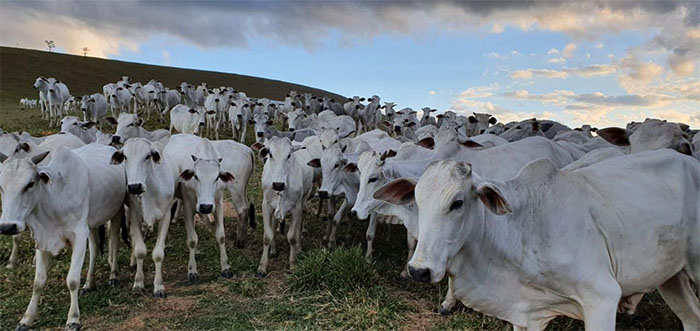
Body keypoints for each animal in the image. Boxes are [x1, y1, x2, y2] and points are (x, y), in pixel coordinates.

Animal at [0, 145, 124, 331]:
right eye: (1, 186)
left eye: (30, 184)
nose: (8, 227)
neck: (54, 199)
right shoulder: (42, 239)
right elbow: (38, 282)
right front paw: (26, 319)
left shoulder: (79, 235)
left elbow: (72, 280)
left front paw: (73, 319)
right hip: (92, 223)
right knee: (94, 248)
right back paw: (89, 283)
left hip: (115, 214)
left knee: (114, 241)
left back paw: (113, 276)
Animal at [165, 135, 256, 282]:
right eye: (195, 176)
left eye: (217, 177)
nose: (206, 206)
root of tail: (248, 150)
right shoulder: (189, 206)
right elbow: (192, 239)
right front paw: (192, 271)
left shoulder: (218, 203)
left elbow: (220, 235)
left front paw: (225, 267)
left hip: (237, 189)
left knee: (242, 210)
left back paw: (239, 240)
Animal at [256, 137, 314, 278]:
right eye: (270, 154)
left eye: (289, 155)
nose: (278, 184)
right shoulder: (266, 205)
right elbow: (267, 236)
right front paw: (262, 267)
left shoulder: (296, 207)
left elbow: (291, 236)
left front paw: (292, 263)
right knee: (274, 224)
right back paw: (273, 250)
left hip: (304, 199)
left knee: (299, 224)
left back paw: (298, 249)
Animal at [378, 150, 700, 331]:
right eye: (417, 200)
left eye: (457, 203)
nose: (419, 270)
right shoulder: (526, 312)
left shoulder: (602, 298)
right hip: (671, 277)